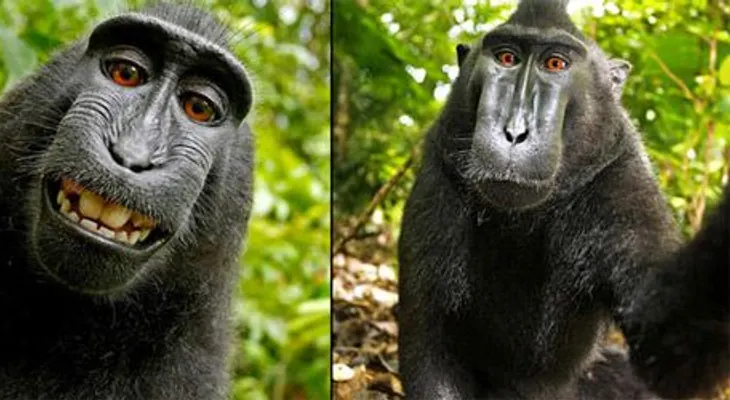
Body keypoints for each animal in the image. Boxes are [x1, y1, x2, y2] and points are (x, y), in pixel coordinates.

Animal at [396, 0, 710, 398]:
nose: (515, 132)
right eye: (507, 58)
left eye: (556, 64)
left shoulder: (621, 182)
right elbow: (431, 345)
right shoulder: (441, 176)